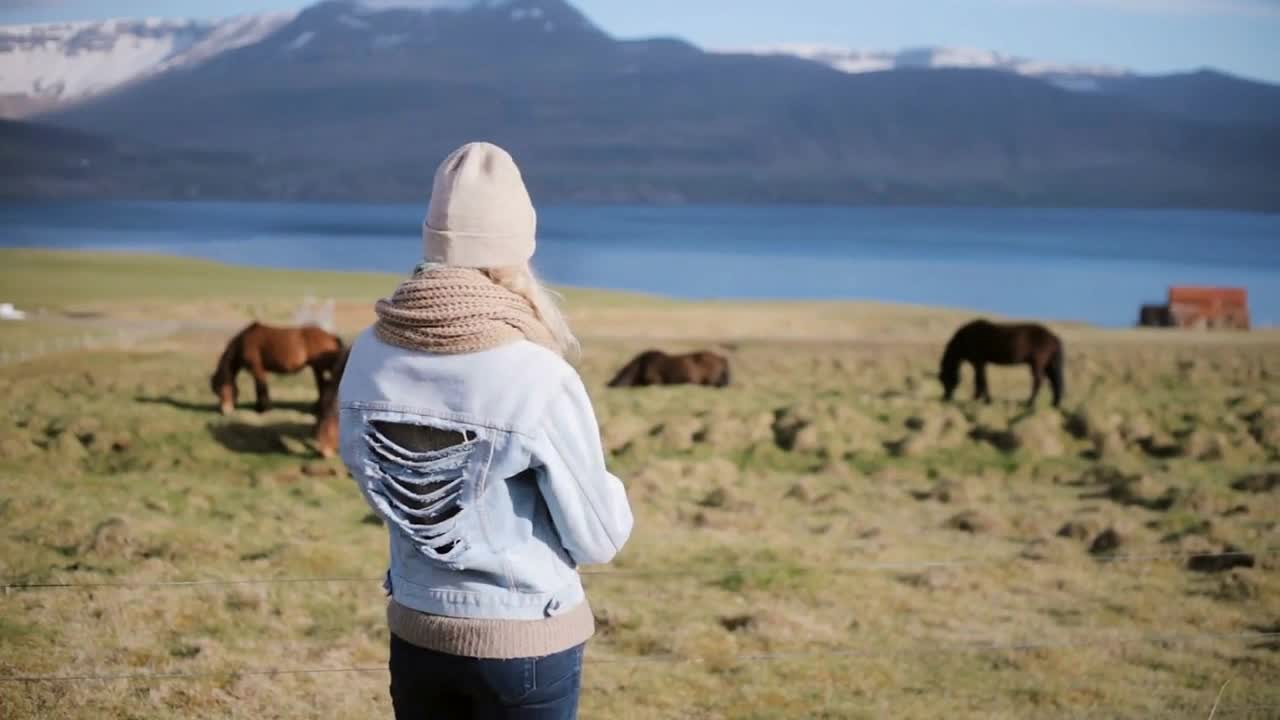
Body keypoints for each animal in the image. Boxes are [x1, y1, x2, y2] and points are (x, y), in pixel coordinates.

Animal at [209, 320, 343, 412]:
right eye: (216, 392)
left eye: (222, 389)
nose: (225, 411)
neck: (244, 341)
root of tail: (331, 336)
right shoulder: (260, 370)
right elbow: (260, 387)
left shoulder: (256, 368)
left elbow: (261, 387)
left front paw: (263, 409)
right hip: (318, 368)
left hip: (321, 368)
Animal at [936, 317, 1064, 404]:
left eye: (945, 379)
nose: (946, 398)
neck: (965, 338)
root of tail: (1053, 337)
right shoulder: (980, 363)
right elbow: (981, 380)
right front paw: (981, 398)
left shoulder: (978, 362)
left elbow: (980, 380)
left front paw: (983, 399)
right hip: (1048, 365)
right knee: (1055, 382)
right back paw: (1054, 404)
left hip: (1038, 363)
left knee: (1038, 381)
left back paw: (1030, 402)